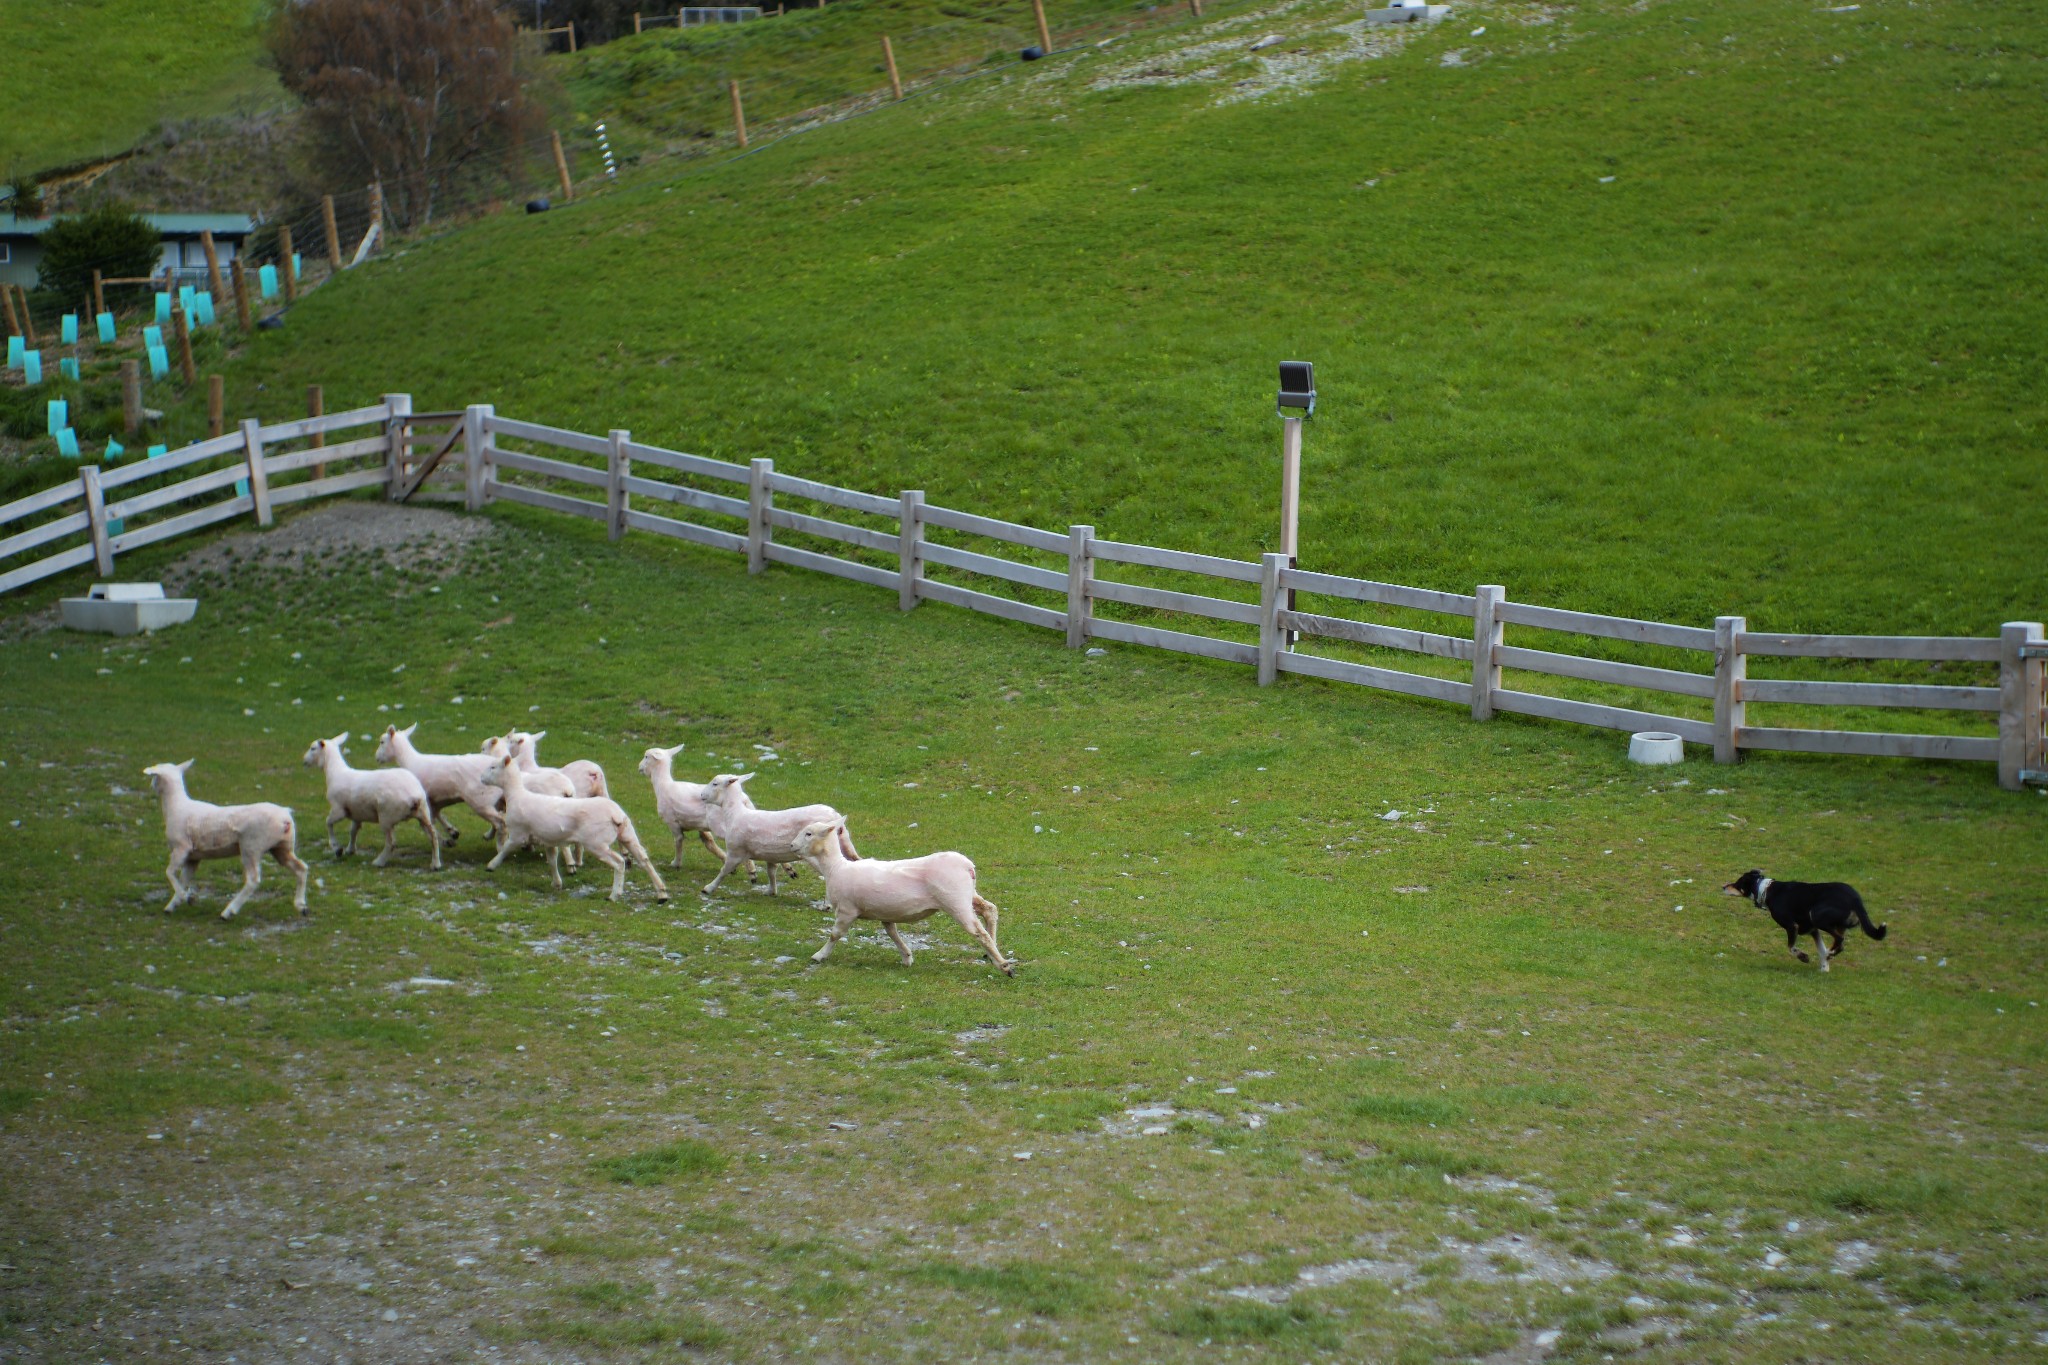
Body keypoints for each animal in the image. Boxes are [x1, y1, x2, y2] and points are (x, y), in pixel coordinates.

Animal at [144, 757, 305, 916]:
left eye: (154, 776)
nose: (151, 786)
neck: (176, 805)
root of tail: (285, 817)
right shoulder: (193, 857)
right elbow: (183, 879)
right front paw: (173, 904)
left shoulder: (181, 848)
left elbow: (169, 873)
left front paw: (185, 897)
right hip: (282, 847)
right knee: (301, 868)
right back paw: (301, 906)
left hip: (251, 847)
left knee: (253, 880)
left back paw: (229, 911)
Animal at [301, 732, 442, 871]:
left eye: (312, 748)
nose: (304, 761)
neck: (335, 772)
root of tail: (414, 795)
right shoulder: (357, 812)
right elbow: (353, 830)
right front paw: (350, 850)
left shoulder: (339, 809)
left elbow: (328, 822)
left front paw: (337, 848)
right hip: (423, 812)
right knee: (433, 835)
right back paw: (435, 864)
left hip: (387, 816)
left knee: (392, 843)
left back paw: (379, 862)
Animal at [479, 740, 671, 900]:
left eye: (493, 767)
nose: (481, 778)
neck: (516, 794)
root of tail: (616, 814)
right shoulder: (548, 839)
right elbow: (552, 860)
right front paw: (557, 883)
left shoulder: (518, 834)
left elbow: (505, 848)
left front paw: (491, 865)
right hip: (627, 834)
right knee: (644, 860)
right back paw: (661, 893)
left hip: (596, 842)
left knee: (619, 863)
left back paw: (614, 895)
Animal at [700, 773, 860, 900]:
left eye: (715, 783)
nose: (701, 795)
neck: (735, 813)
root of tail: (836, 817)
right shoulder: (771, 855)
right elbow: (771, 872)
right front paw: (771, 891)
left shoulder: (735, 852)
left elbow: (724, 870)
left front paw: (708, 888)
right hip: (845, 844)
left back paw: (826, 905)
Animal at [790, 818, 1007, 978]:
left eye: (808, 833)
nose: (791, 845)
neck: (835, 868)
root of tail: (968, 866)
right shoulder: (885, 912)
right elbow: (891, 933)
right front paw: (907, 957)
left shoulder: (846, 910)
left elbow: (835, 934)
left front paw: (819, 955)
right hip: (967, 895)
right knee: (990, 909)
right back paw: (992, 952)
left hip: (955, 901)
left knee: (979, 932)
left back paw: (1003, 965)